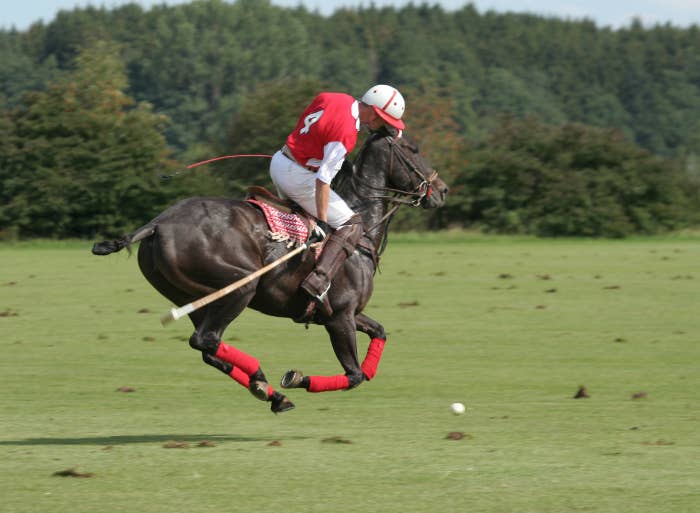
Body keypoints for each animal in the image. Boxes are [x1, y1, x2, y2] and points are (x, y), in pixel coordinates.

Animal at [91, 128, 448, 412]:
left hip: (191, 298)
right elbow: (354, 374)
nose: (441, 190)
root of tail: (157, 224)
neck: (359, 234)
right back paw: (266, 383)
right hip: (239, 287)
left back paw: (268, 390)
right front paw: (297, 377)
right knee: (205, 339)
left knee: (206, 347)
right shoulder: (339, 316)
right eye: (413, 149)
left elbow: (379, 333)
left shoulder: (347, 313)